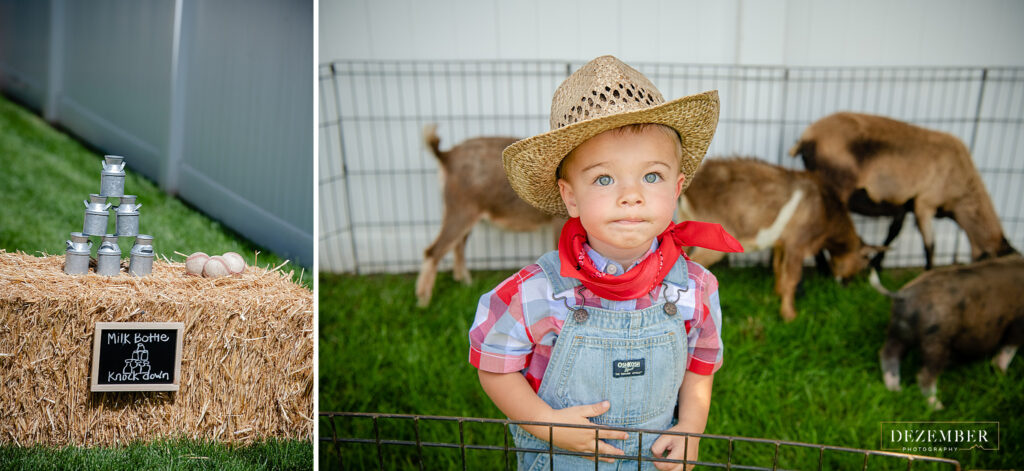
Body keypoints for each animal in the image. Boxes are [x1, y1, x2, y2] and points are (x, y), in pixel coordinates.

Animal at [413, 124, 565, 307]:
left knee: (458, 245)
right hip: (460, 208)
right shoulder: (558, 221)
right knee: (433, 251)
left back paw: (465, 283)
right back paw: (423, 302)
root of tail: (446, 156)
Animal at [675, 159, 884, 321]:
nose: (846, 284)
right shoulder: (797, 244)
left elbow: (778, 267)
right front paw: (790, 315)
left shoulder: (782, 243)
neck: (825, 209)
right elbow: (792, 277)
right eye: (864, 262)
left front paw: (777, 293)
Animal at [786, 111, 1011, 270]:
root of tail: (807, 137)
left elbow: (893, 232)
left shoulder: (902, 204)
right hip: (837, 184)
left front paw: (877, 264)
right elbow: (930, 246)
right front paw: (928, 273)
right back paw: (823, 270)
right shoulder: (924, 204)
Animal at [872, 253, 1024, 407]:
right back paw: (938, 406)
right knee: (924, 375)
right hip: (936, 340)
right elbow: (1008, 350)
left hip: (898, 331)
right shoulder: (1016, 324)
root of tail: (903, 295)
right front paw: (1002, 373)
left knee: (888, 354)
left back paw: (896, 390)